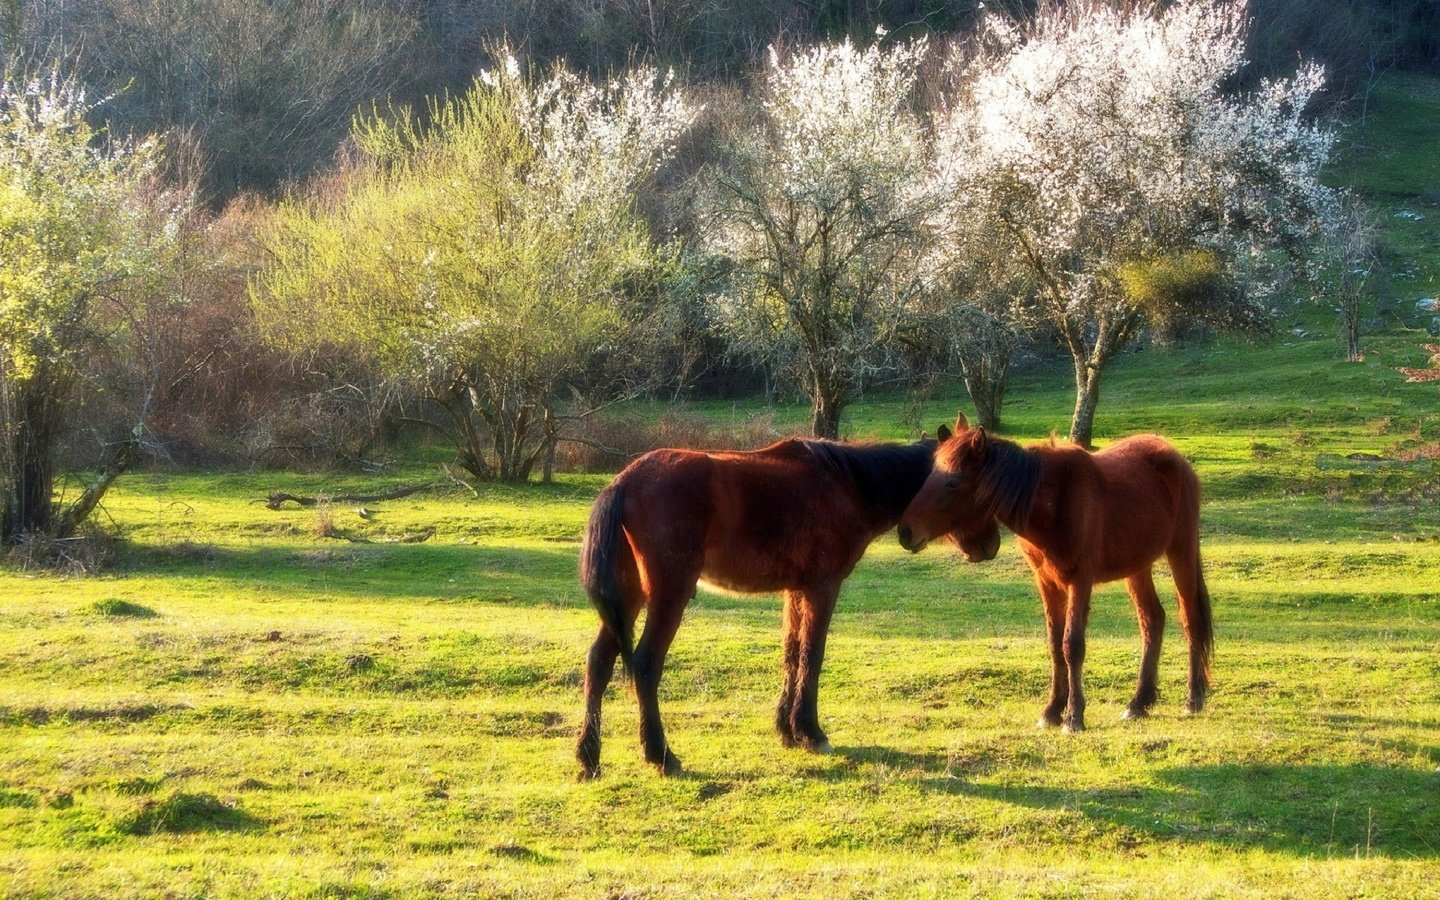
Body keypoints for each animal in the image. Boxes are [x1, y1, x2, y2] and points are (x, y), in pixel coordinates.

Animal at [576, 432, 967, 777]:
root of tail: (624, 482)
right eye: (952, 482)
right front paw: (810, 731)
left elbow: (791, 653)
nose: (909, 536)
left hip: (629, 598)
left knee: (599, 662)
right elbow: (812, 654)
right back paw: (661, 755)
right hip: (668, 595)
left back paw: (589, 757)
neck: (847, 484)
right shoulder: (822, 588)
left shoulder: (795, 591)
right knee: (645, 665)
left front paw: (786, 729)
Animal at [898, 414, 1215, 731]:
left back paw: (1193, 698)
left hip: (1181, 551)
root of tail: (1174, 457)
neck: (1053, 503)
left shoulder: (1079, 580)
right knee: (1152, 619)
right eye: (929, 477)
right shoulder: (1047, 582)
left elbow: (1072, 645)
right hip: (1137, 566)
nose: (905, 532)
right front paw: (1052, 710)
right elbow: (1054, 645)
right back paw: (1138, 702)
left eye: (952, 482)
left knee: (1190, 618)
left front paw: (1074, 716)